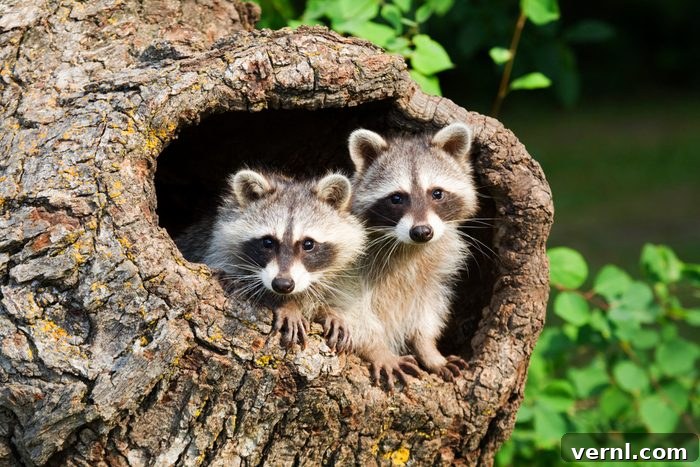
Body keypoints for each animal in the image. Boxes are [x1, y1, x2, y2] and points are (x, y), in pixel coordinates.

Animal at [176, 169, 366, 352]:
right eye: (268, 242)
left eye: (308, 244)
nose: (282, 285)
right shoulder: (217, 253)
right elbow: (239, 284)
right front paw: (286, 304)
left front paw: (331, 311)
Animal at [344, 123, 479, 386]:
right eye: (397, 198)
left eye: (436, 193)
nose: (422, 232)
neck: (409, 247)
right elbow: (351, 312)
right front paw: (378, 349)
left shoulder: (436, 268)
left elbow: (426, 310)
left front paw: (429, 349)